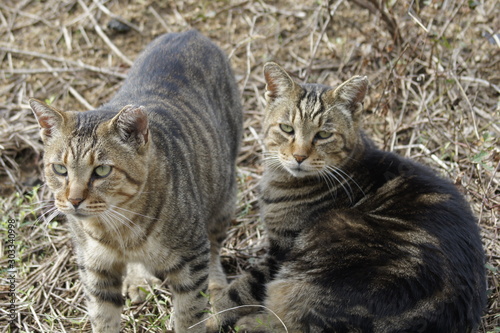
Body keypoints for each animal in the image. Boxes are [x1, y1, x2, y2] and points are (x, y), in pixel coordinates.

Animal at [30, 29, 243, 330]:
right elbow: (103, 319)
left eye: (102, 171)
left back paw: (216, 287)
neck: (118, 231)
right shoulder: (94, 267)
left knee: (214, 246)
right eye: (60, 169)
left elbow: (189, 316)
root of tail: (189, 32)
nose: (73, 200)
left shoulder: (192, 260)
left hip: (224, 197)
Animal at [209, 61, 486, 330]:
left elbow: (238, 292)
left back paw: (246, 323)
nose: (299, 156)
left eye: (323, 134)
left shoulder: (281, 250)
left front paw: (208, 316)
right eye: (287, 129)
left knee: (291, 322)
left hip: (329, 233)